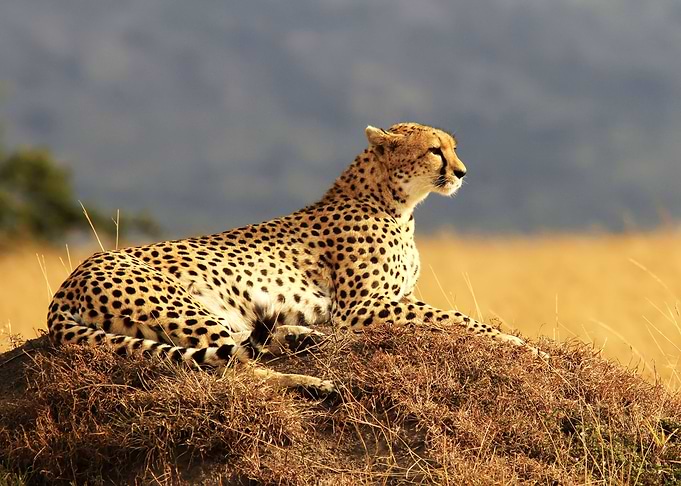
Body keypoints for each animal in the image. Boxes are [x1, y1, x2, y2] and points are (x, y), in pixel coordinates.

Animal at [47, 122, 544, 393]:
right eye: (434, 150)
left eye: (454, 147)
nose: (462, 172)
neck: (395, 202)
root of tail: (68, 281)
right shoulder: (363, 307)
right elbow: (456, 317)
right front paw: (521, 345)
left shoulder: (384, 302)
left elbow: (450, 316)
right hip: (183, 307)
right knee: (233, 370)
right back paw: (313, 382)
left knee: (245, 345)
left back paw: (306, 340)